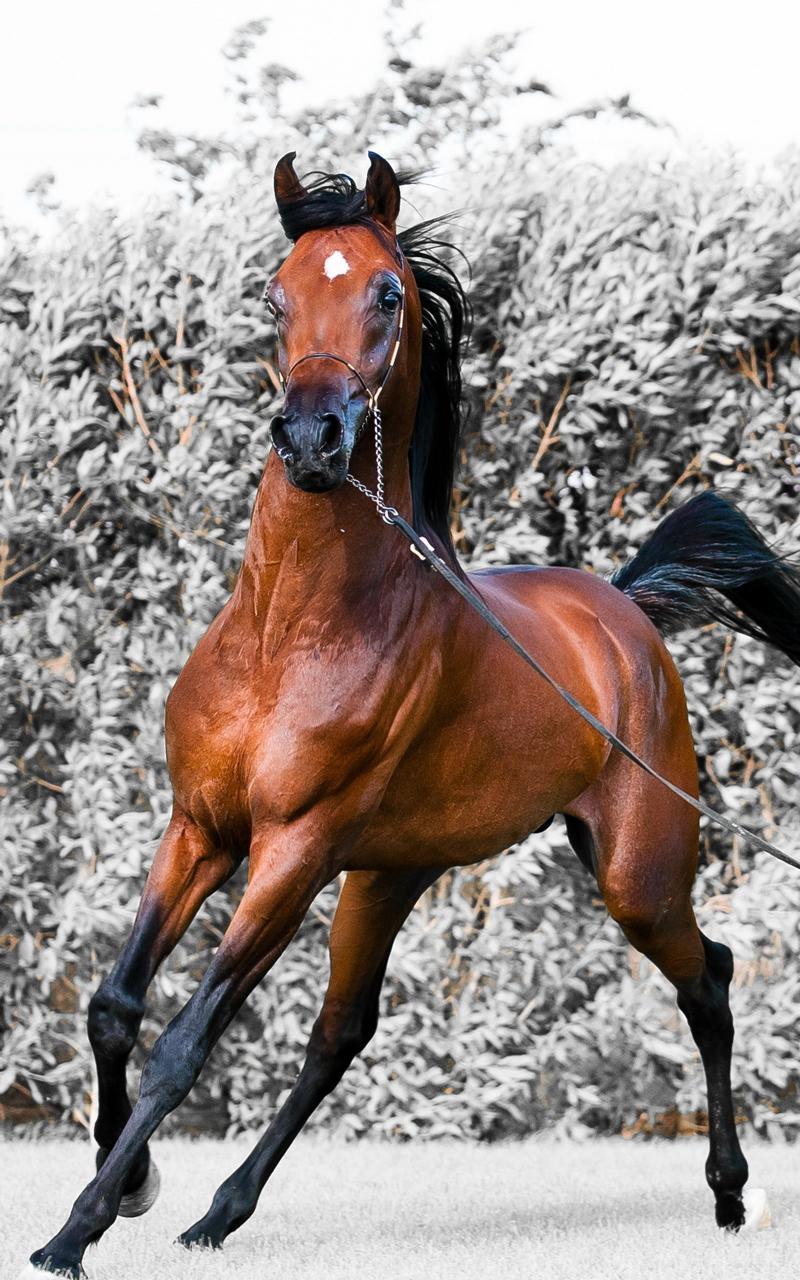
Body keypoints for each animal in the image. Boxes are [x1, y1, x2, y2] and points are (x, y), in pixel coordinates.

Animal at [27, 151, 800, 1277]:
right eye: (275, 293)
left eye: (387, 294)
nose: (312, 439)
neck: (289, 633)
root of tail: (624, 612)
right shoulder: (202, 827)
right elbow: (114, 1007)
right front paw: (130, 1185)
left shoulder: (291, 849)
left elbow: (183, 1044)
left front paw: (75, 1227)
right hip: (390, 873)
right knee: (340, 1032)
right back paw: (217, 1213)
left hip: (636, 874)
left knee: (710, 979)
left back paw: (731, 1195)